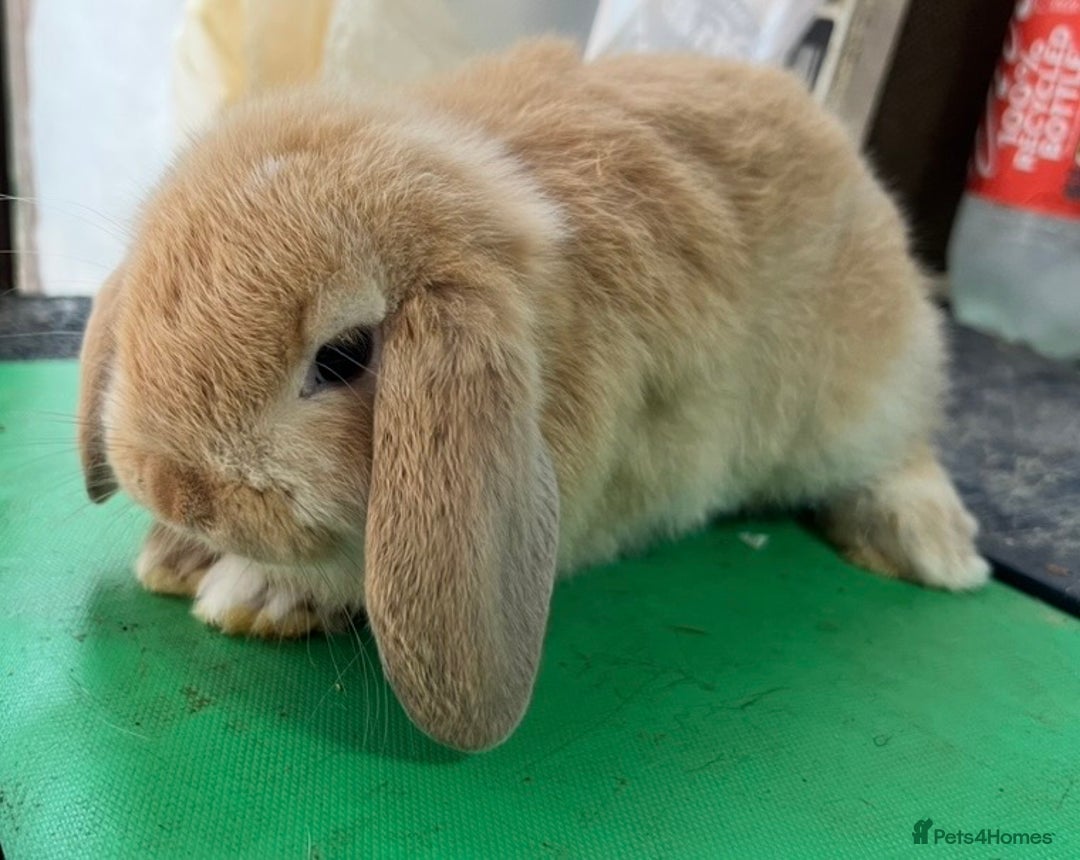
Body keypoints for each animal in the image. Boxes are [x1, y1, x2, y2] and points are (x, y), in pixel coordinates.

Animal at [77, 39, 989, 751]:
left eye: (341, 358)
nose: (176, 491)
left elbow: (352, 575)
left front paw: (253, 592)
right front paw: (175, 555)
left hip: (858, 402)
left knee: (904, 448)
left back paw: (931, 547)